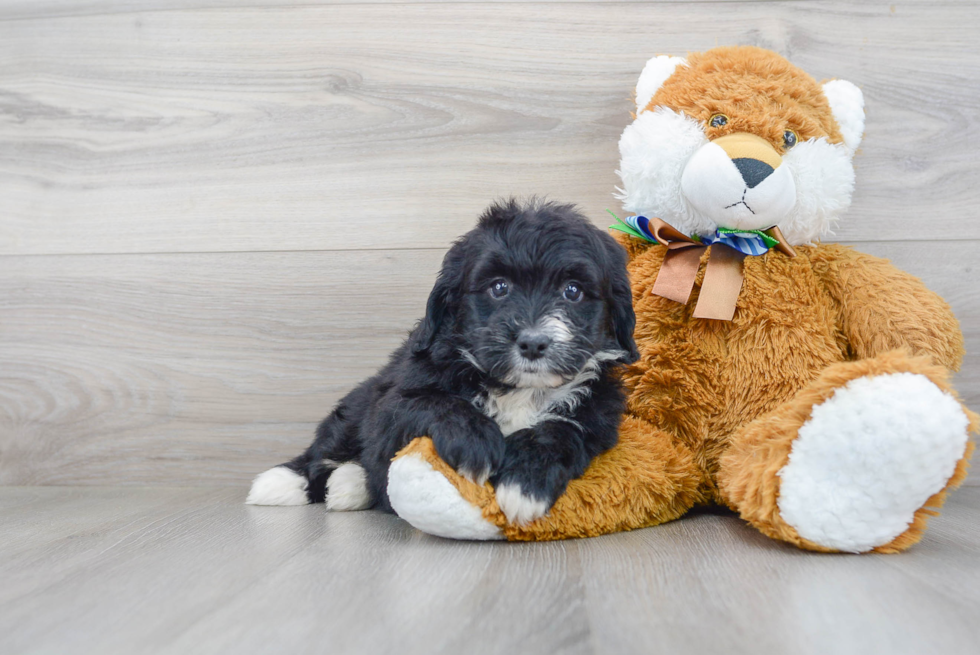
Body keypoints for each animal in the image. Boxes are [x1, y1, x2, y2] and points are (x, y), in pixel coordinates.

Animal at [249, 197, 640, 524]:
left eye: (572, 291)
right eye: (499, 287)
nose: (532, 342)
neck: (518, 389)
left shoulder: (599, 417)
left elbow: (560, 430)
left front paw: (525, 483)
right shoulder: (395, 400)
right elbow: (432, 403)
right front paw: (475, 444)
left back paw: (348, 485)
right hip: (359, 404)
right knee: (326, 448)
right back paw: (285, 482)